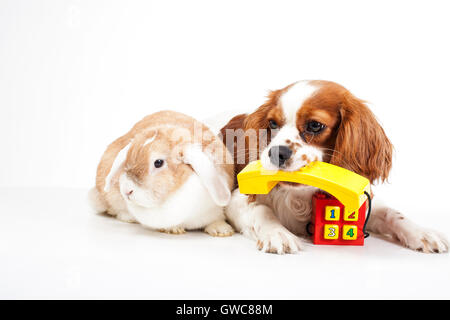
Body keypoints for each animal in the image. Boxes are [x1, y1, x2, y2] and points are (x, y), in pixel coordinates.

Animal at [88, 111, 236, 236]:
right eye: (128, 159)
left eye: (158, 162)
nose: (126, 191)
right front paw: (173, 229)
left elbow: (215, 220)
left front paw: (222, 230)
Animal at [220, 80, 448, 255]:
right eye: (273, 124)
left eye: (314, 125)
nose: (276, 152)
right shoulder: (237, 199)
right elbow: (261, 210)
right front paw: (278, 233)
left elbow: (391, 212)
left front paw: (423, 232)